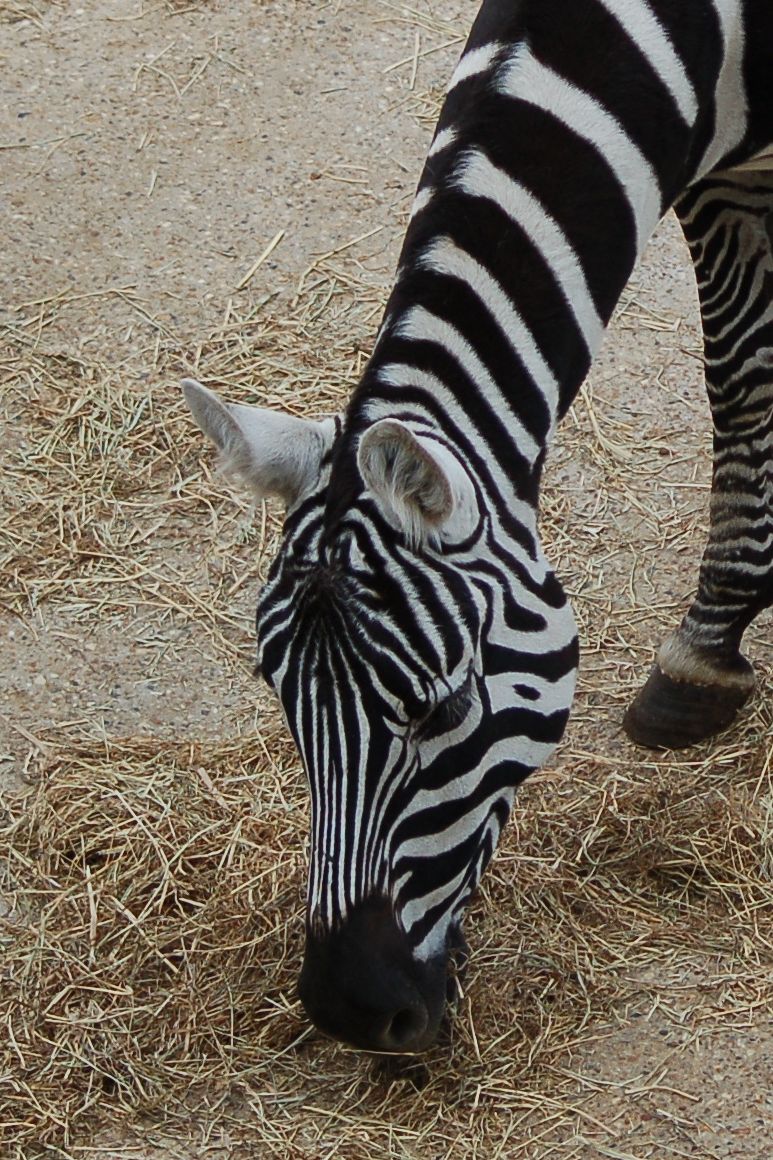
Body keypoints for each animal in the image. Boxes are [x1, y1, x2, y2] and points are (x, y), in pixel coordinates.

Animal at [183, 0, 773, 1053]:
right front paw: (708, 649)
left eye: (442, 711)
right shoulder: (720, 176)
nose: (351, 1010)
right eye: (279, 698)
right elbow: (741, 379)